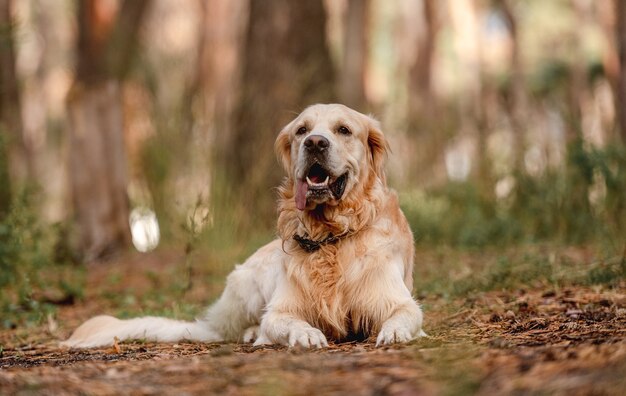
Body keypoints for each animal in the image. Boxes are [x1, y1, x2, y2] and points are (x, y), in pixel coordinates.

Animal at [61, 103, 424, 348]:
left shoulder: (397, 300)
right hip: (247, 284)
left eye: (344, 130)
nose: (315, 143)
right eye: (302, 130)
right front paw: (306, 334)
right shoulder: (280, 309)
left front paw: (393, 332)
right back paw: (251, 333)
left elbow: (406, 314)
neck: (331, 236)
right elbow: (281, 322)